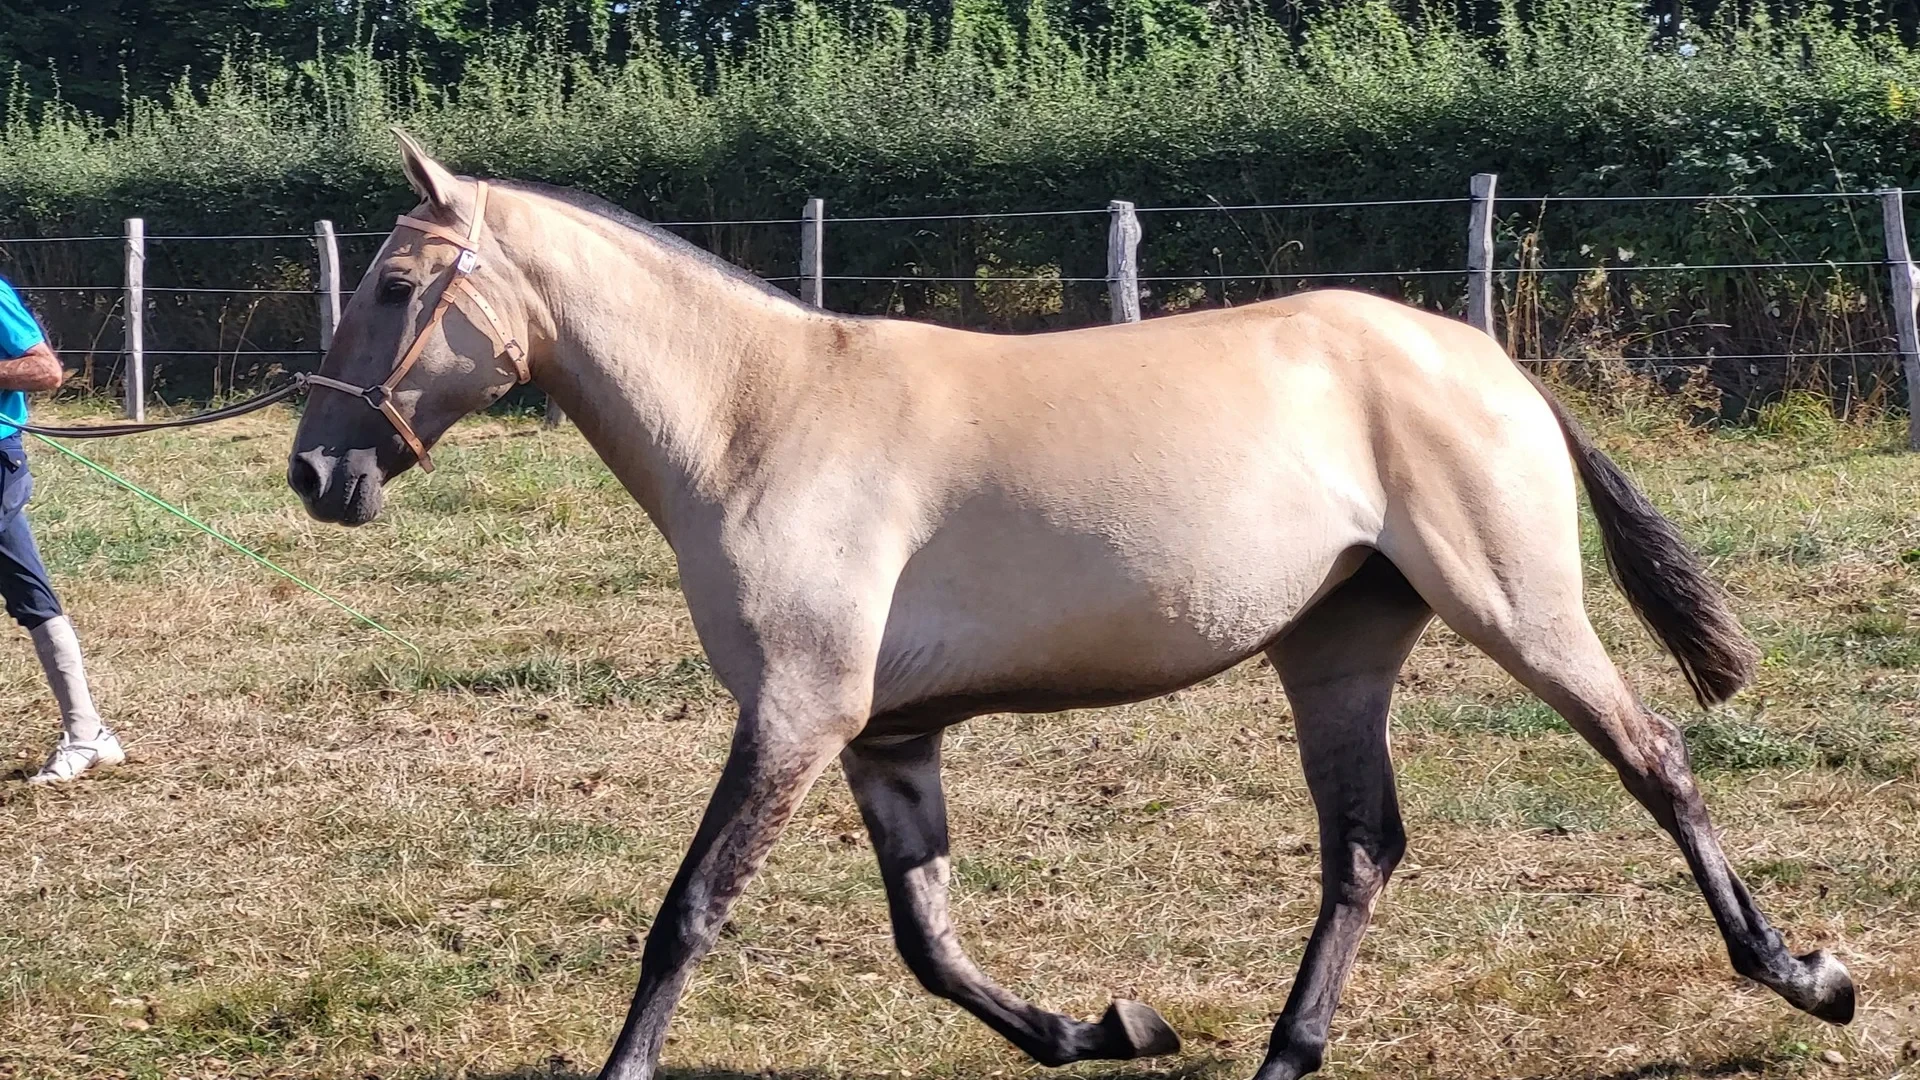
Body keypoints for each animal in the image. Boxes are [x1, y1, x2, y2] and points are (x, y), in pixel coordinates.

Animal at [286, 130, 1854, 1080]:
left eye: (399, 281)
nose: (317, 470)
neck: (759, 418)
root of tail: (1488, 358)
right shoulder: (883, 737)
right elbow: (930, 944)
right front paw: (1107, 1025)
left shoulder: (796, 714)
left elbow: (690, 913)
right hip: (1335, 655)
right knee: (1362, 850)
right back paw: (1285, 1050)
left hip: (1518, 613)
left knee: (1653, 760)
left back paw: (1801, 975)